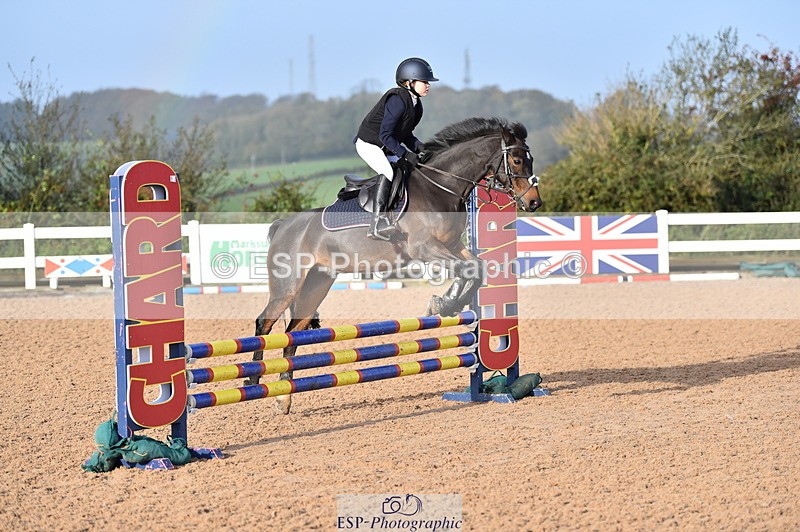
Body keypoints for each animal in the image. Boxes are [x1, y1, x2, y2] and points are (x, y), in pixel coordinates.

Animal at [246, 116, 542, 414]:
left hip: (316, 286)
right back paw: (253, 379)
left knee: (292, 334)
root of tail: (283, 225)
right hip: (288, 286)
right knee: (265, 323)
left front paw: (446, 303)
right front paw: (445, 303)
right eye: (517, 160)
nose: (534, 202)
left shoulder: (451, 245)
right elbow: (467, 270)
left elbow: (476, 268)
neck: (439, 187)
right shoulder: (425, 248)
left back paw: (283, 399)